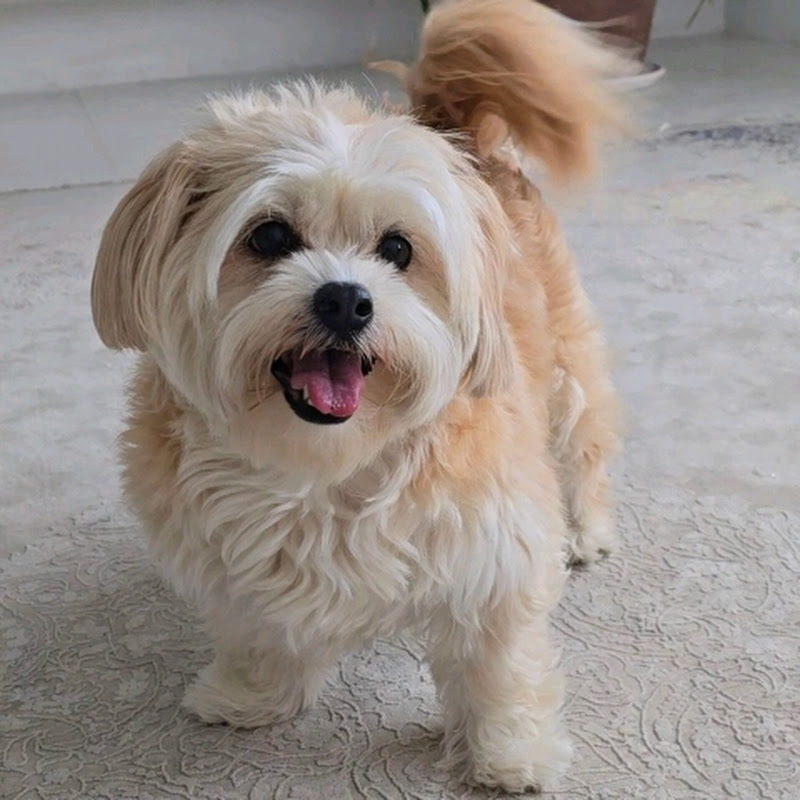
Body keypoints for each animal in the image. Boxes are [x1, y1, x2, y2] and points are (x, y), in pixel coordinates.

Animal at [91, 0, 627, 791]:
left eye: (398, 249)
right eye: (269, 236)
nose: (346, 300)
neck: (326, 467)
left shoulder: (494, 555)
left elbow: (499, 668)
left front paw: (511, 752)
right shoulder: (234, 568)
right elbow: (258, 634)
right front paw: (250, 695)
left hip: (566, 371)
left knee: (586, 448)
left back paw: (587, 530)